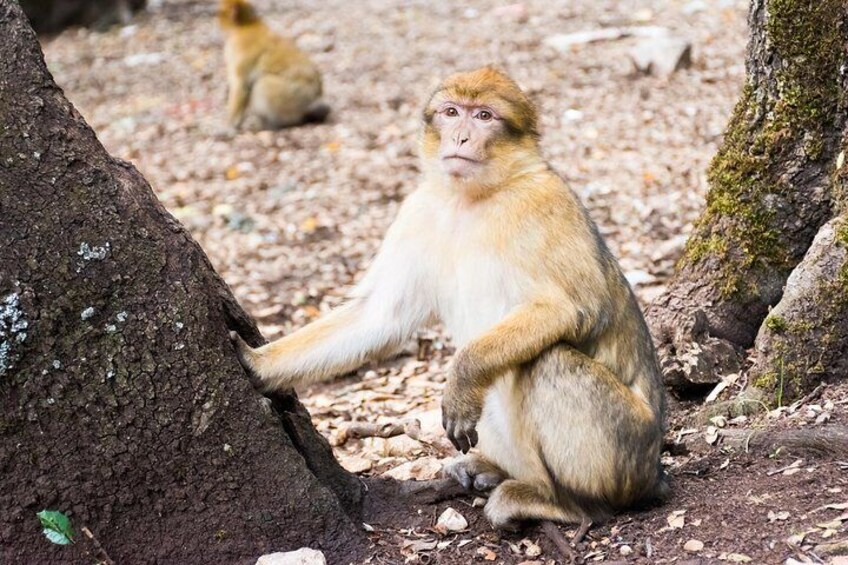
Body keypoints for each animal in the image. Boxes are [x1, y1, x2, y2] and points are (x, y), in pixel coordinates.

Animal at [218, 0, 329, 130]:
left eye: (221, 13)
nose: (217, 20)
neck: (246, 25)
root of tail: (316, 97)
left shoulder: (237, 50)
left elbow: (241, 86)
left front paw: (230, 125)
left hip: (295, 95)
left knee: (263, 84)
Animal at [232, 67, 667, 532]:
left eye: (484, 116)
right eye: (452, 112)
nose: (460, 136)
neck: (470, 198)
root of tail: (654, 471)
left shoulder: (544, 204)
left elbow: (574, 309)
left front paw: (462, 375)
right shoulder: (418, 210)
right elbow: (379, 317)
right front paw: (257, 364)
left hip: (623, 451)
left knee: (546, 361)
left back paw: (563, 503)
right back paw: (493, 469)